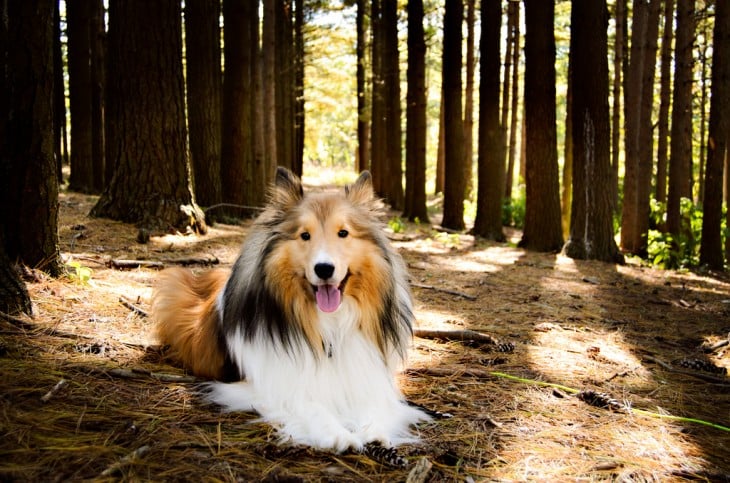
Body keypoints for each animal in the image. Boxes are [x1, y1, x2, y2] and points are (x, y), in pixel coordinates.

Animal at [154, 168, 426, 452]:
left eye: (343, 233)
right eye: (305, 235)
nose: (324, 269)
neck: (328, 327)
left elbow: (374, 406)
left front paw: (373, 431)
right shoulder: (267, 386)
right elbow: (308, 404)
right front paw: (337, 433)